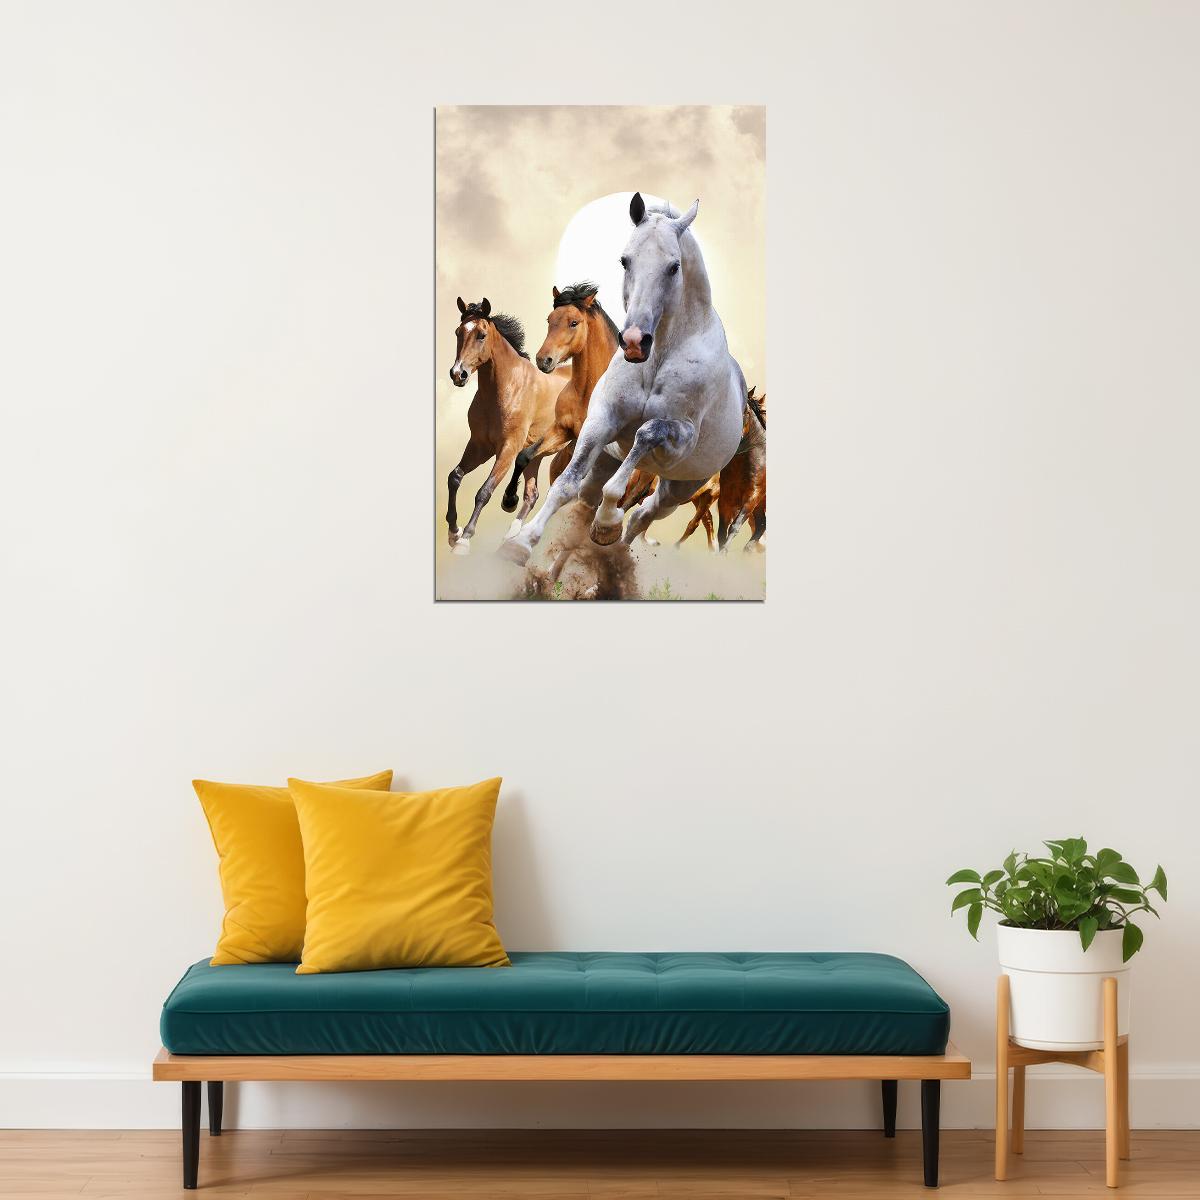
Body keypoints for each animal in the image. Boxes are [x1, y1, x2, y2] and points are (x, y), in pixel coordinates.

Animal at [445, 298, 570, 554]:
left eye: (481, 335)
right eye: (458, 332)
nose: (458, 374)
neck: (507, 388)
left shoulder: (508, 448)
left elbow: (484, 491)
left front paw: (464, 539)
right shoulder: (480, 445)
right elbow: (455, 477)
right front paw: (454, 532)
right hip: (538, 454)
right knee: (532, 493)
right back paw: (512, 534)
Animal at [499, 281, 621, 528]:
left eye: (574, 322)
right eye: (549, 319)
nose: (543, 360)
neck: (588, 393)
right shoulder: (562, 429)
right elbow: (524, 456)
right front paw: (509, 500)